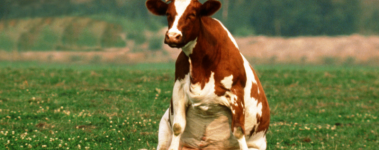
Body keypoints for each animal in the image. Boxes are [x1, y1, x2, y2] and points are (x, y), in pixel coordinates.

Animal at [145, 0, 270, 149]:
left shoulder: (236, 93)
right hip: (163, 130)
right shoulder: (178, 88)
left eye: (192, 15)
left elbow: (239, 130)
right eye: (168, 14)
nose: (172, 36)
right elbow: (177, 126)